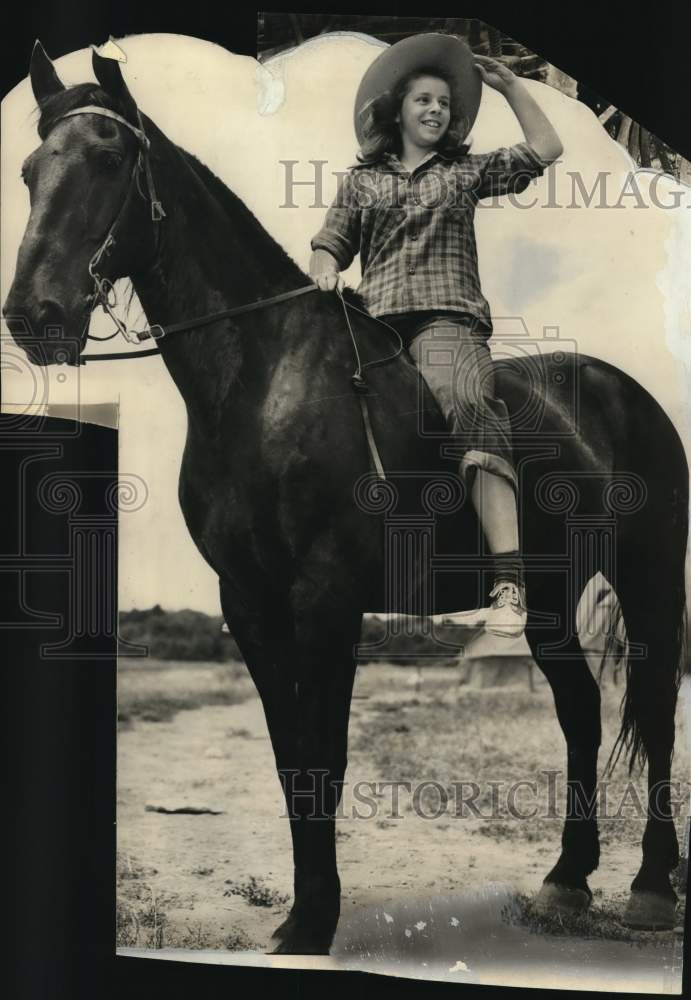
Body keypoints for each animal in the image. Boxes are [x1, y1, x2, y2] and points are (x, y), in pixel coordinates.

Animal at [2, 45, 688, 952]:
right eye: (31, 169)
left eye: (110, 161)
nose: (34, 316)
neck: (262, 383)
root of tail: (625, 393)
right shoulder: (251, 604)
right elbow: (291, 756)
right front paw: (301, 916)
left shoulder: (325, 600)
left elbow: (325, 757)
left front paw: (313, 921)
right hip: (548, 594)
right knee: (580, 710)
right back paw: (565, 883)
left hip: (650, 582)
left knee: (655, 713)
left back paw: (648, 888)